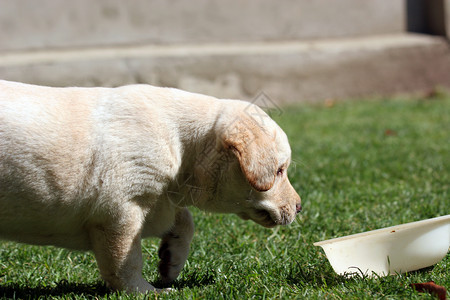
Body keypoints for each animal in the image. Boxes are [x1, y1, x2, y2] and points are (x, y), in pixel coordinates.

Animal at [0, 79, 302, 292]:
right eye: (279, 170)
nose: (299, 207)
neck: (183, 144)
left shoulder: (159, 199)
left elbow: (185, 221)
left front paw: (171, 262)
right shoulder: (121, 210)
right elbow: (125, 260)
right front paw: (145, 290)